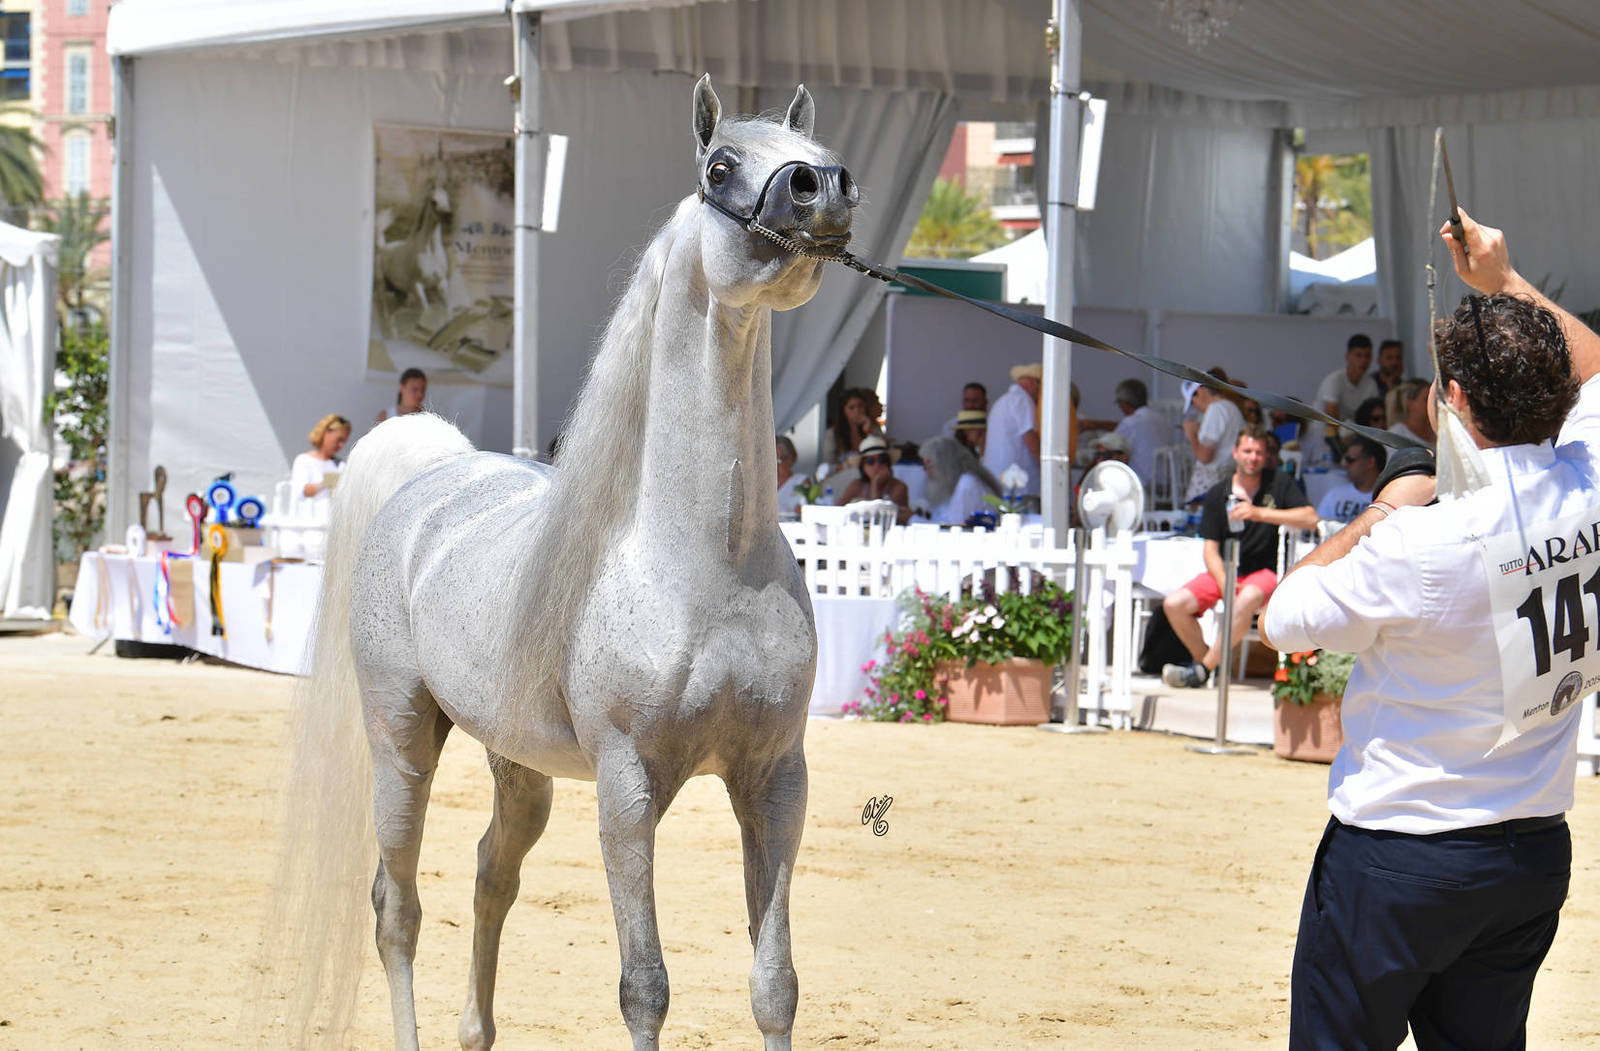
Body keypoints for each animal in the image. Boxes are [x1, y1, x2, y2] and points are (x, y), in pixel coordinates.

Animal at [264, 75, 858, 1051]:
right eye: (720, 164)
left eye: (808, 148)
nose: (824, 188)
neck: (708, 569)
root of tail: (432, 473)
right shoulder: (626, 788)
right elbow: (645, 985)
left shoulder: (777, 782)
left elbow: (775, 984)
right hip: (401, 742)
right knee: (397, 907)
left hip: (519, 766)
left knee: (488, 876)